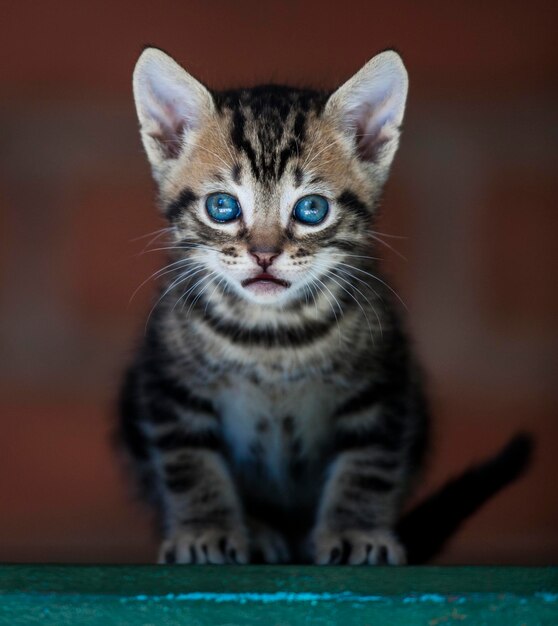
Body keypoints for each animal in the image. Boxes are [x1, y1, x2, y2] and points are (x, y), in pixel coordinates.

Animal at [121, 48, 532, 564]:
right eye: (222, 207)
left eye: (311, 209)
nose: (264, 254)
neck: (271, 338)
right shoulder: (169, 383)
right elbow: (187, 463)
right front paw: (206, 531)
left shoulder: (382, 383)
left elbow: (367, 465)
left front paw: (357, 532)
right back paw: (261, 531)